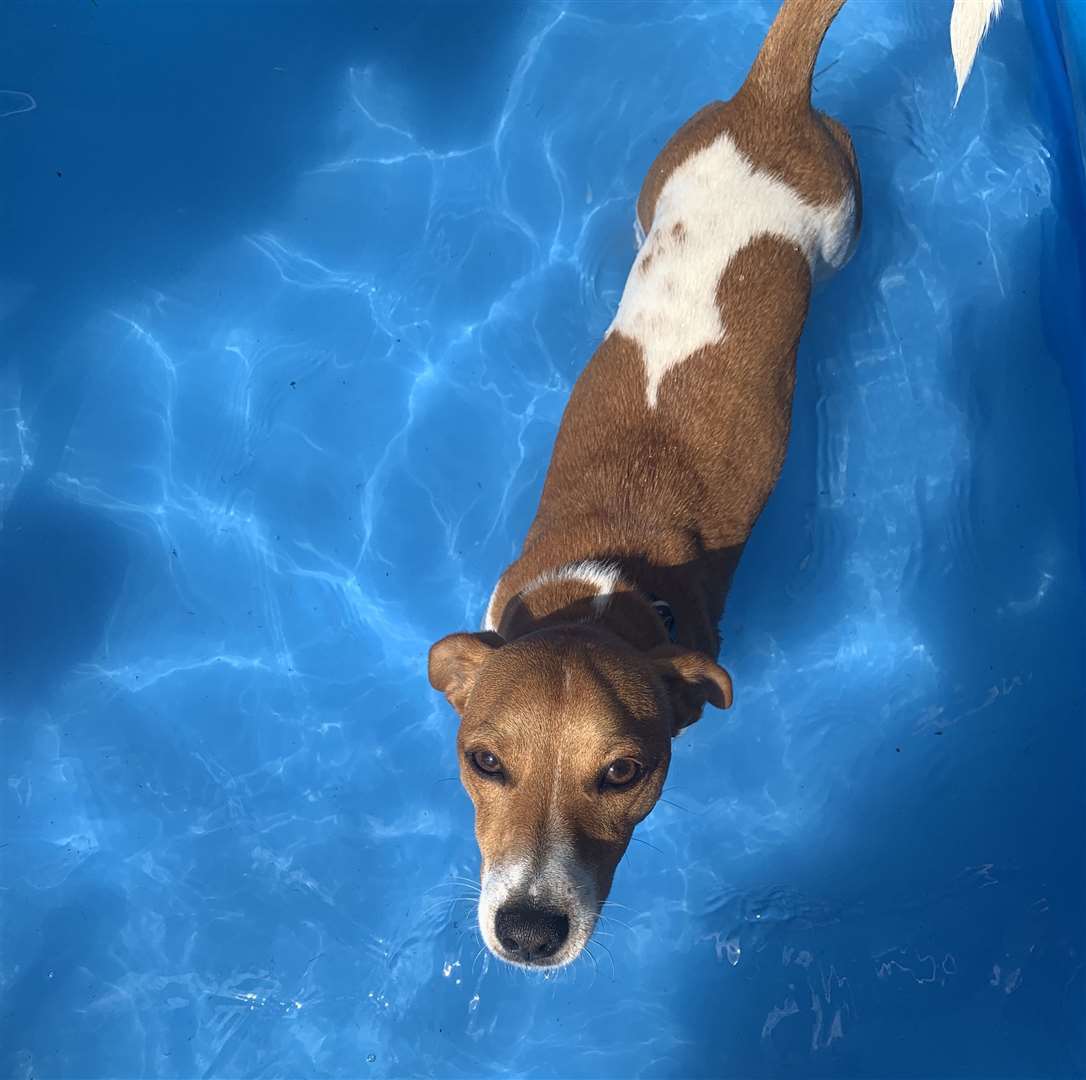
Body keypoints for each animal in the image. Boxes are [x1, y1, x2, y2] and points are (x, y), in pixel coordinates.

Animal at [423, 0, 999, 969]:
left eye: (625, 771)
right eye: (484, 761)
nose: (529, 932)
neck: (599, 585)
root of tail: (766, 101)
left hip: (842, 224)